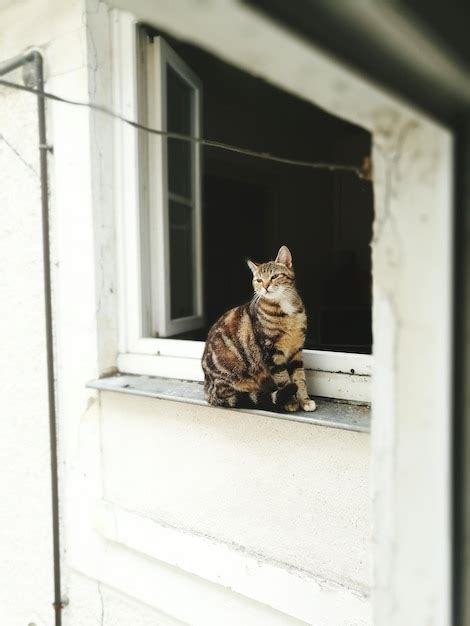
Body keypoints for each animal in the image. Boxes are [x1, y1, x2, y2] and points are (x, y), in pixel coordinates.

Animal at [201, 246, 316, 412]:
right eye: (259, 280)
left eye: (274, 276)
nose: (266, 286)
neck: (284, 306)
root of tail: (208, 388)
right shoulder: (271, 351)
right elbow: (283, 378)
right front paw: (291, 402)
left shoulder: (296, 350)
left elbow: (299, 377)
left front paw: (305, 400)